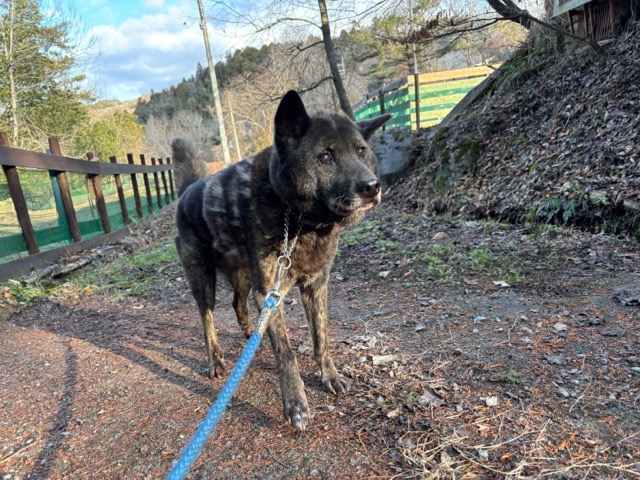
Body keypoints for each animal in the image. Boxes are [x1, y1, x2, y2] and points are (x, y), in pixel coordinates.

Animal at [172, 90, 390, 430]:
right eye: (325, 157)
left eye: (361, 151)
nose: (372, 187)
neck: (298, 220)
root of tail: (186, 192)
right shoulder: (269, 293)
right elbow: (286, 354)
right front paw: (296, 405)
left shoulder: (315, 286)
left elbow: (321, 337)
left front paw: (329, 376)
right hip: (204, 281)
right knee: (207, 320)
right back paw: (216, 361)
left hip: (243, 277)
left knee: (238, 305)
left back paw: (253, 335)